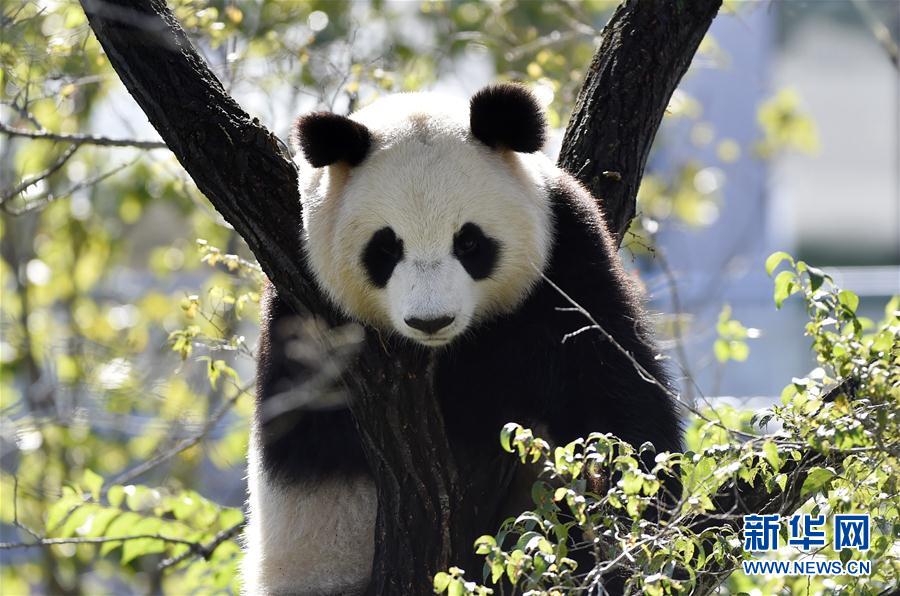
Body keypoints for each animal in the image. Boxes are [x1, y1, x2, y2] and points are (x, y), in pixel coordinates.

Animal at [243, 81, 680, 592]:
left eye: (469, 242)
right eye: (385, 248)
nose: (430, 321)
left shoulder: (568, 252)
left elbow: (612, 386)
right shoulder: (304, 309)